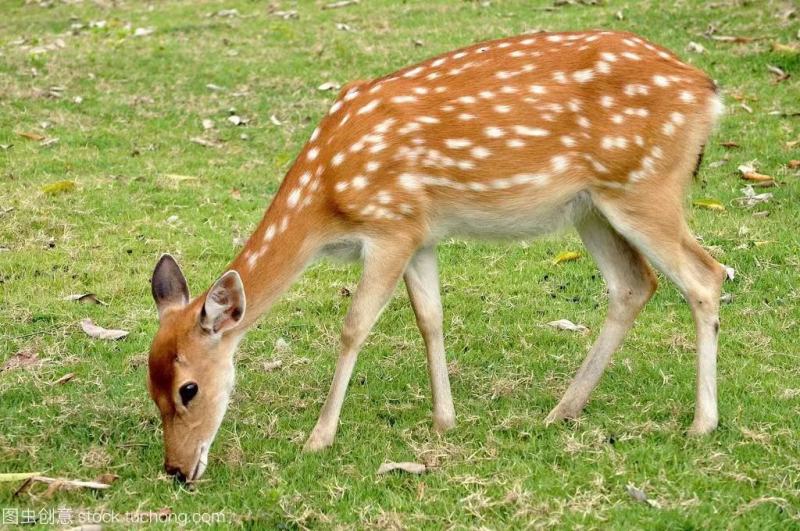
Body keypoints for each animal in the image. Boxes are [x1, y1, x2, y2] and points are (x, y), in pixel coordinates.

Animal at [147, 30, 726, 482]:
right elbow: (430, 317)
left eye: (188, 389)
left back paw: (702, 423)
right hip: (592, 206)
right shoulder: (420, 232)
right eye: (149, 386)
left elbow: (355, 325)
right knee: (634, 283)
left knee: (707, 274)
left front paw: (318, 438)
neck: (326, 198)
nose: (176, 470)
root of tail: (709, 93)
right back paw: (562, 409)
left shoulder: (390, 226)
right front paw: (446, 421)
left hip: (645, 185)